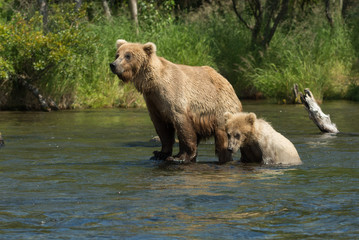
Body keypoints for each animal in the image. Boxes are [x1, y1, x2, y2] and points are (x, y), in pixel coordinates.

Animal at [111, 39, 243, 163]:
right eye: (117, 54)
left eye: (128, 55)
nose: (113, 65)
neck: (152, 83)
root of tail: (229, 85)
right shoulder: (154, 101)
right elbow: (162, 128)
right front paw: (160, 153)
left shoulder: (174, 95)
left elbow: (182, 124)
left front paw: (179, 156)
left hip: (220, 108)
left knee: (222, 139)